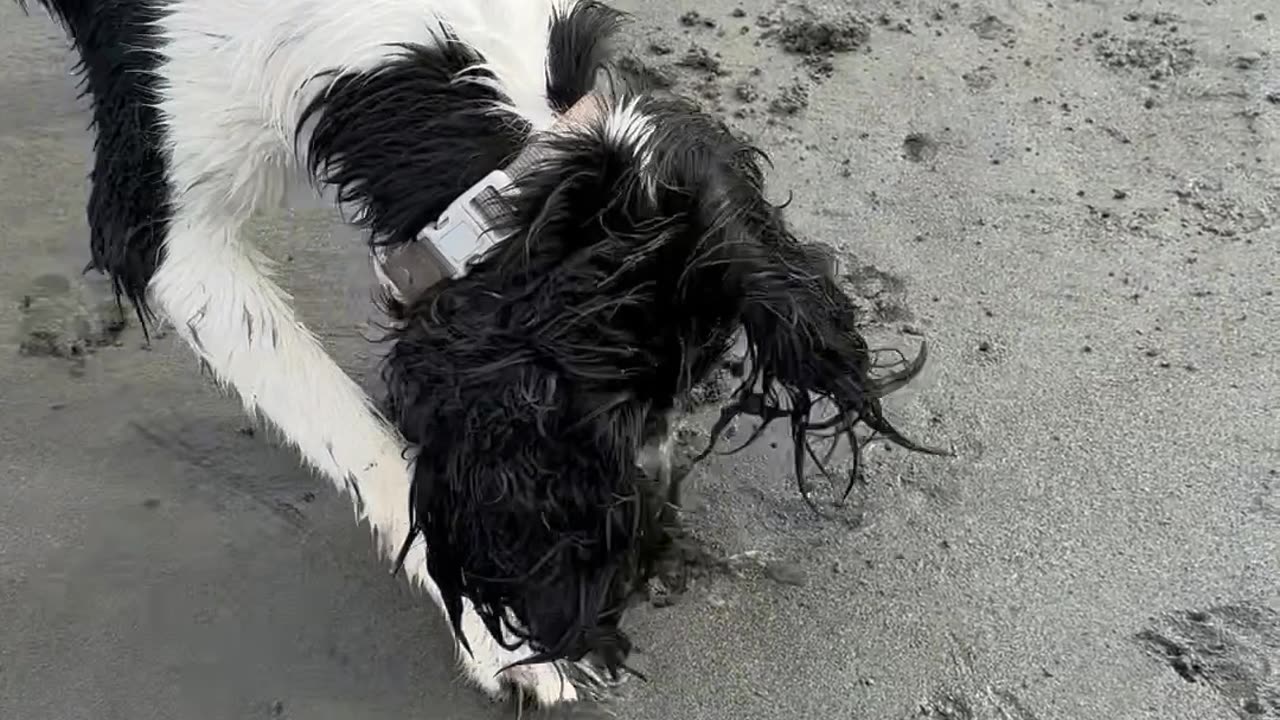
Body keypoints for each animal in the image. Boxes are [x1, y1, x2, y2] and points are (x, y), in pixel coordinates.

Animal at [17, 0, 942, 707]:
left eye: (686, 392)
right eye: (620, 419)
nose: (659, 527)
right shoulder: (166, 231)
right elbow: (360, 438)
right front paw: (508, 643)